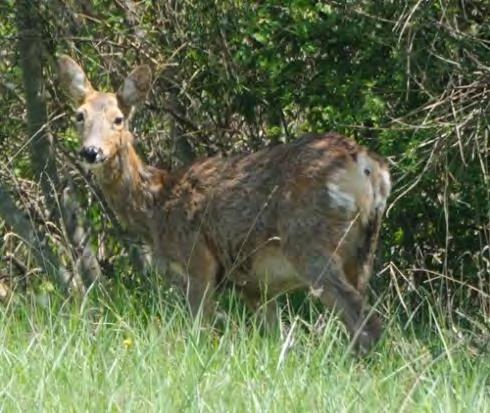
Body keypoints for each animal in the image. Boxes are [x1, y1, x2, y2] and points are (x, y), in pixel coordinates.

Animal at [59, 54, 392, 350]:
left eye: (118, 119)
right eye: (80, 116)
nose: (91, 152)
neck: (156, 207)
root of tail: (368, 167)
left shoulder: (198, 259)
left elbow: (199, 331)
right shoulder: (256, 287)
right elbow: (276, 339)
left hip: (310, 242)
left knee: (364, 321)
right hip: (362, 249)